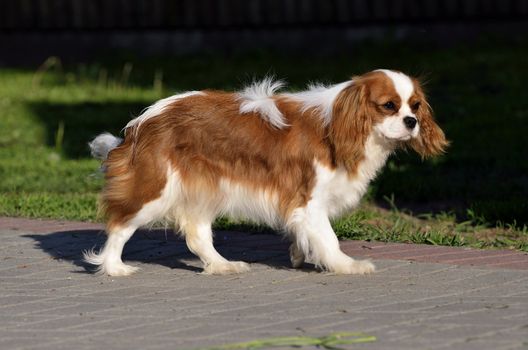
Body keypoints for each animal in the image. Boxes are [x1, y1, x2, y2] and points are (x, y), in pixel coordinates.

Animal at [84, 69, 448, 276]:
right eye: (389, 106)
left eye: (415, 106)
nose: (411, 122)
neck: (340, 125)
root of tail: (139, 125)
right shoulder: (309, 199)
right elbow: (328, 237)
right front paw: (346, 265)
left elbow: (305, 234)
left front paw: (300, 253)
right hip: (156, 188)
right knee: (120, 225)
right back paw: (114, 268)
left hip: (204, 188)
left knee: (197, 234)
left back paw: (222, 266)